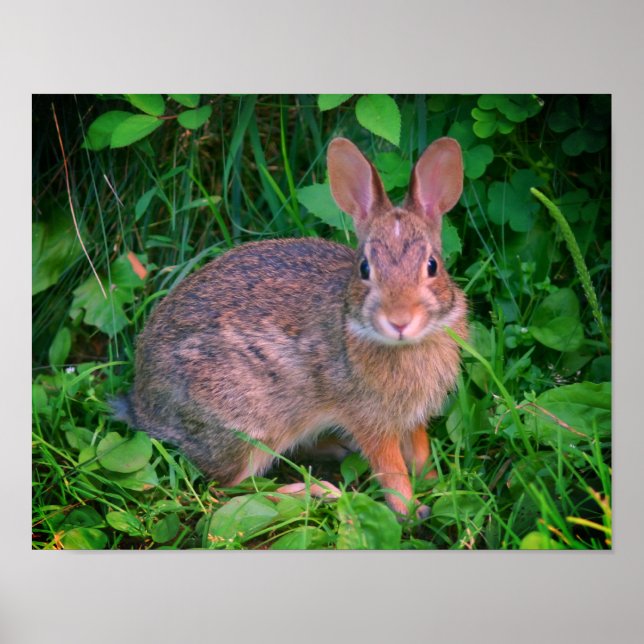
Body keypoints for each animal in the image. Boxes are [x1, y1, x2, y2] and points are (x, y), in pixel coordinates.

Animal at [113, 136, 468, 518]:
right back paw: (315, 491)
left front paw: (436, 484)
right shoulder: (370, 420)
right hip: (247, 427)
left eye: (432, 265)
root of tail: (144, 406)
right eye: (364, 268)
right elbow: (391, 469)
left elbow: (419, 451)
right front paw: (410, 510)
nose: (399, 320)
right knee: (230, 491)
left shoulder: (412, 418)